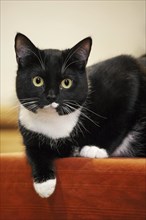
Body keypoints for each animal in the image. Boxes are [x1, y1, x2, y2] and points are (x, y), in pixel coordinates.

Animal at [14, 33, 146, 199]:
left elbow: (119, 120)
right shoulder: (30, 132)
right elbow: (33, 152)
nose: (51, 97)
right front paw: (44, 183)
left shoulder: (127, 75)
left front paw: (96, 148)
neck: (54, 122)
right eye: (37, 81)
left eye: (67, 82)